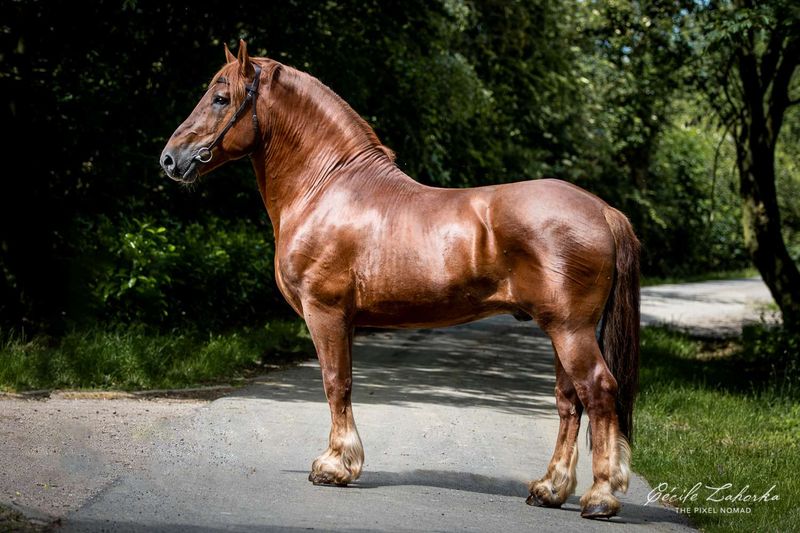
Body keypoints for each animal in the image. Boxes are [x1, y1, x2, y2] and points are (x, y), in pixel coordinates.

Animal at [161, 40, 636, 520]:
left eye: (221, 98)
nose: (170, 158)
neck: (327, 187)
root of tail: (602, 210)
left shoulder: (326, 313)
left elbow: (336, 383)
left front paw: (334, 467)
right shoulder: (345, 320)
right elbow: (343, 383)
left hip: (571, 330)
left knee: (598, 391)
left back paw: (600, 497)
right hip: (560, 330)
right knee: (569, 401)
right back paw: (549, 489)